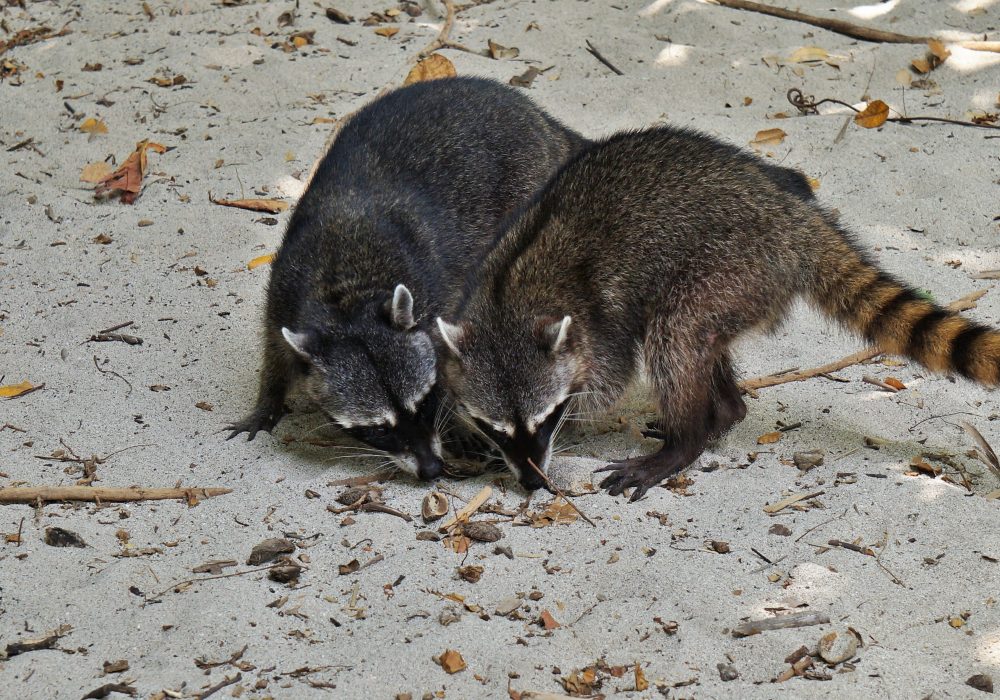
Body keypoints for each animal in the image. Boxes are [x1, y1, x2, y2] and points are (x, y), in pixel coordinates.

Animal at [226, 78, 584, 482]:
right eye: (380, 429)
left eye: (423, 404)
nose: (431, 469)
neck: (345, 297)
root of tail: (535, 114)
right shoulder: (284, 287)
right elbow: (274, 348)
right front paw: (267, 399)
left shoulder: (436, 296)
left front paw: (455, 419)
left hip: (527, 180)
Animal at [438, 124, 1000, 498]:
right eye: (495, 426)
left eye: (544, 417)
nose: (533, 481)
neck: (508, 299)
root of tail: (795, 216)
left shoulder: (598, 322)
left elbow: (607, 381)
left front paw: (574, 422)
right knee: (700, 339)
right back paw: (723, 411)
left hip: (736, 263)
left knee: (676, 332)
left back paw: (685, 440)